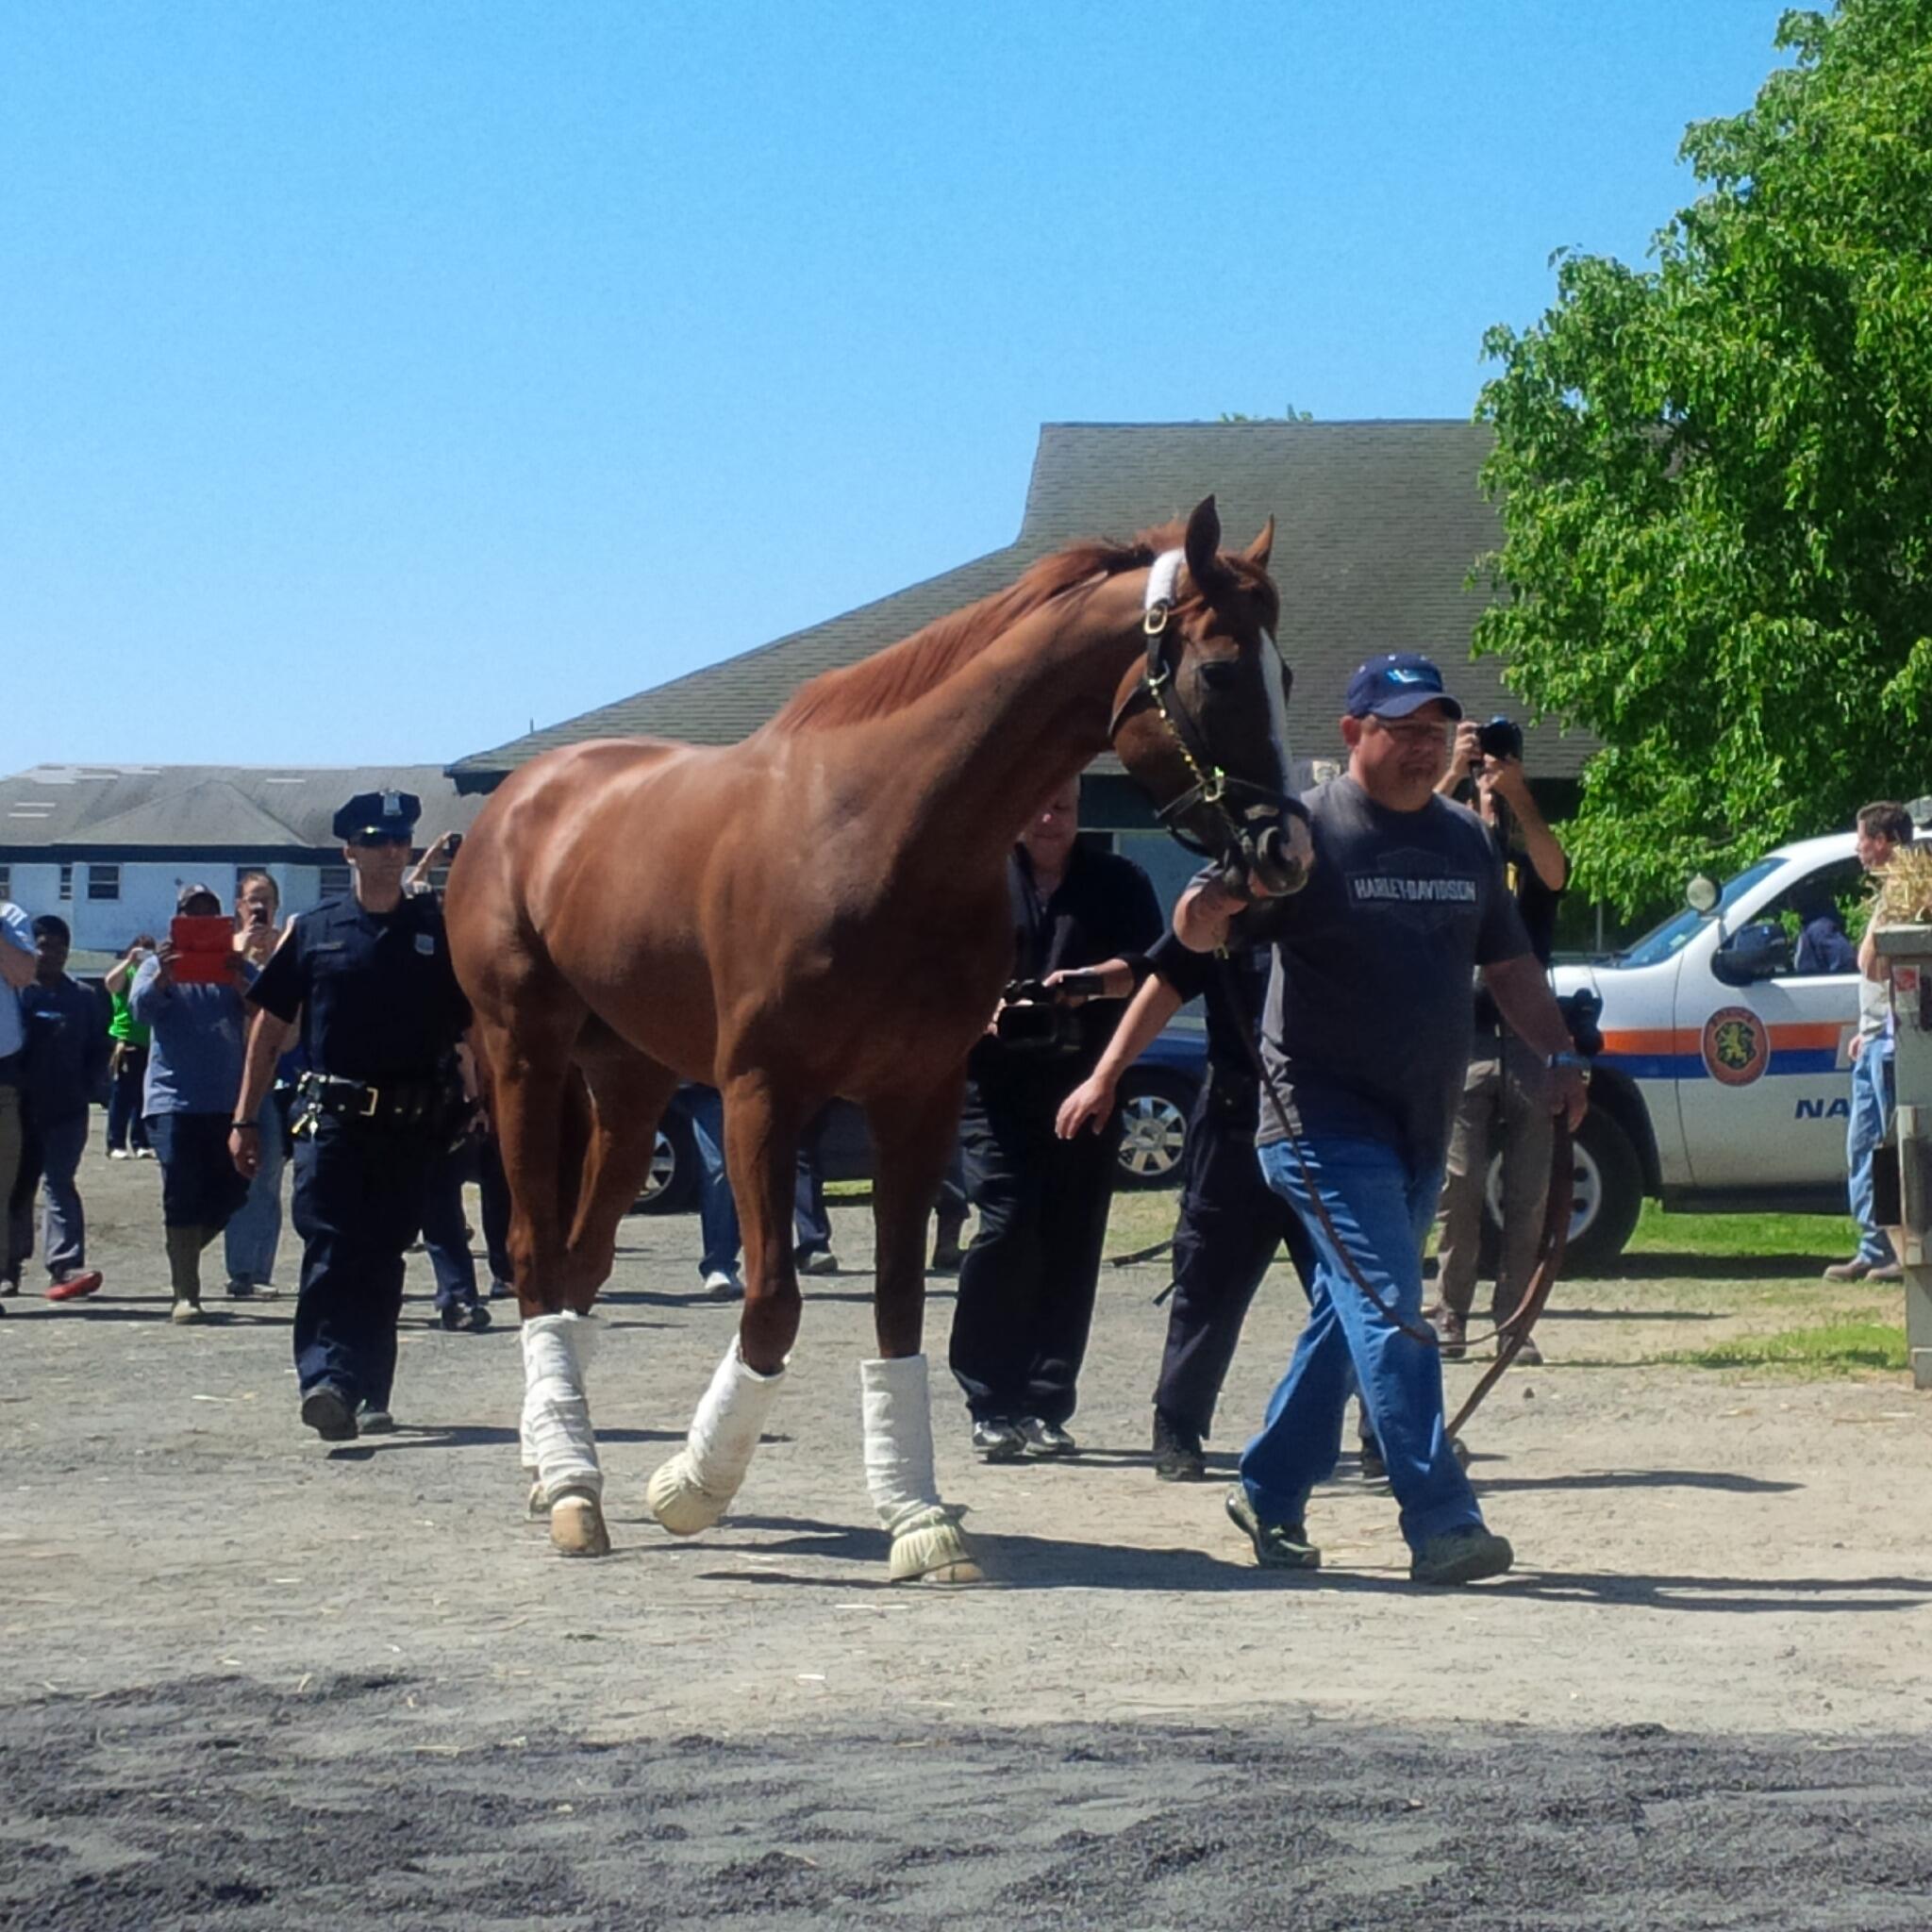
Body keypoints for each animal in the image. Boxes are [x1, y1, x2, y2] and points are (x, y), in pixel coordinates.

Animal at [444, 491, 1306, 1576]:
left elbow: (900, 1298)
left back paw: (551, 1459)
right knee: (530, 1254)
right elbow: (772, 1298)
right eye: (1222, 669)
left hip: (629, 1086)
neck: (884, 832)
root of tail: (523, 797)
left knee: (580, 1262)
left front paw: (917, 1514)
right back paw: (570, 1486)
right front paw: (691, 1486)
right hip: (527, 1049)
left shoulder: (918, 1096)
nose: (1286, 851)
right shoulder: (763, 1096)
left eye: (1284, 674)